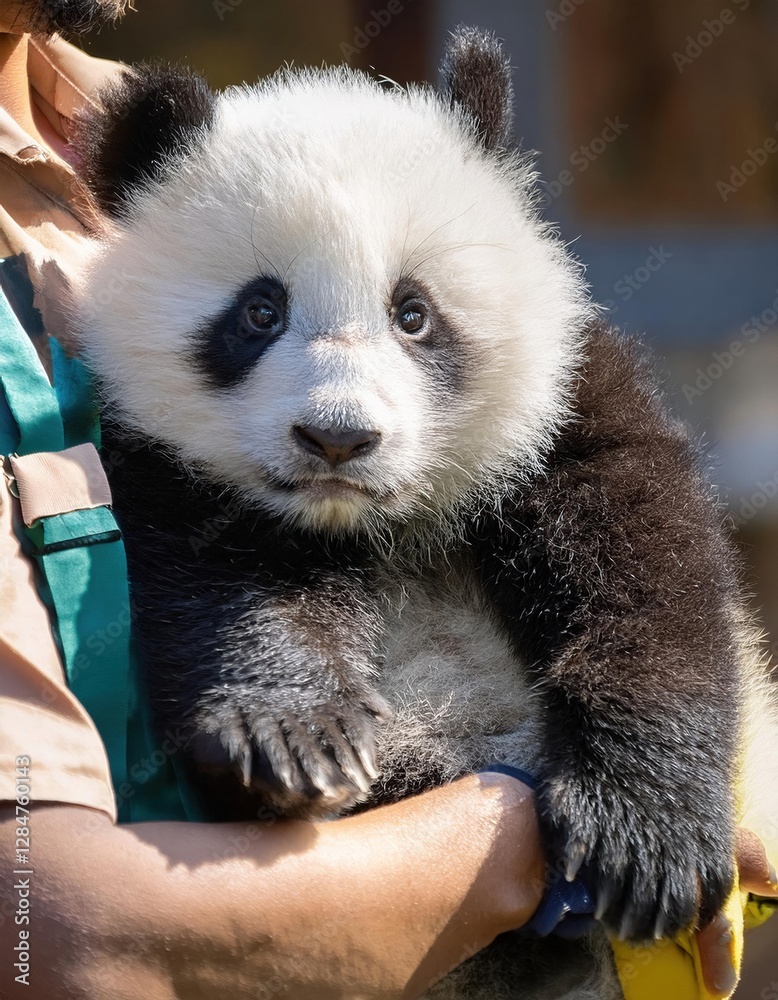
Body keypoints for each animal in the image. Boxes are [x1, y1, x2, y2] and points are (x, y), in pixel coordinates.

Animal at [65, 27, 778, 1000]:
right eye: (259, 311)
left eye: (414, 314)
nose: (337, 439)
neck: (375, 525)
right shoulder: (162, 465)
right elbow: (219, 588)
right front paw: (298, 737)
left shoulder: (566, 392)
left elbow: (644, 564)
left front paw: (645, 834)